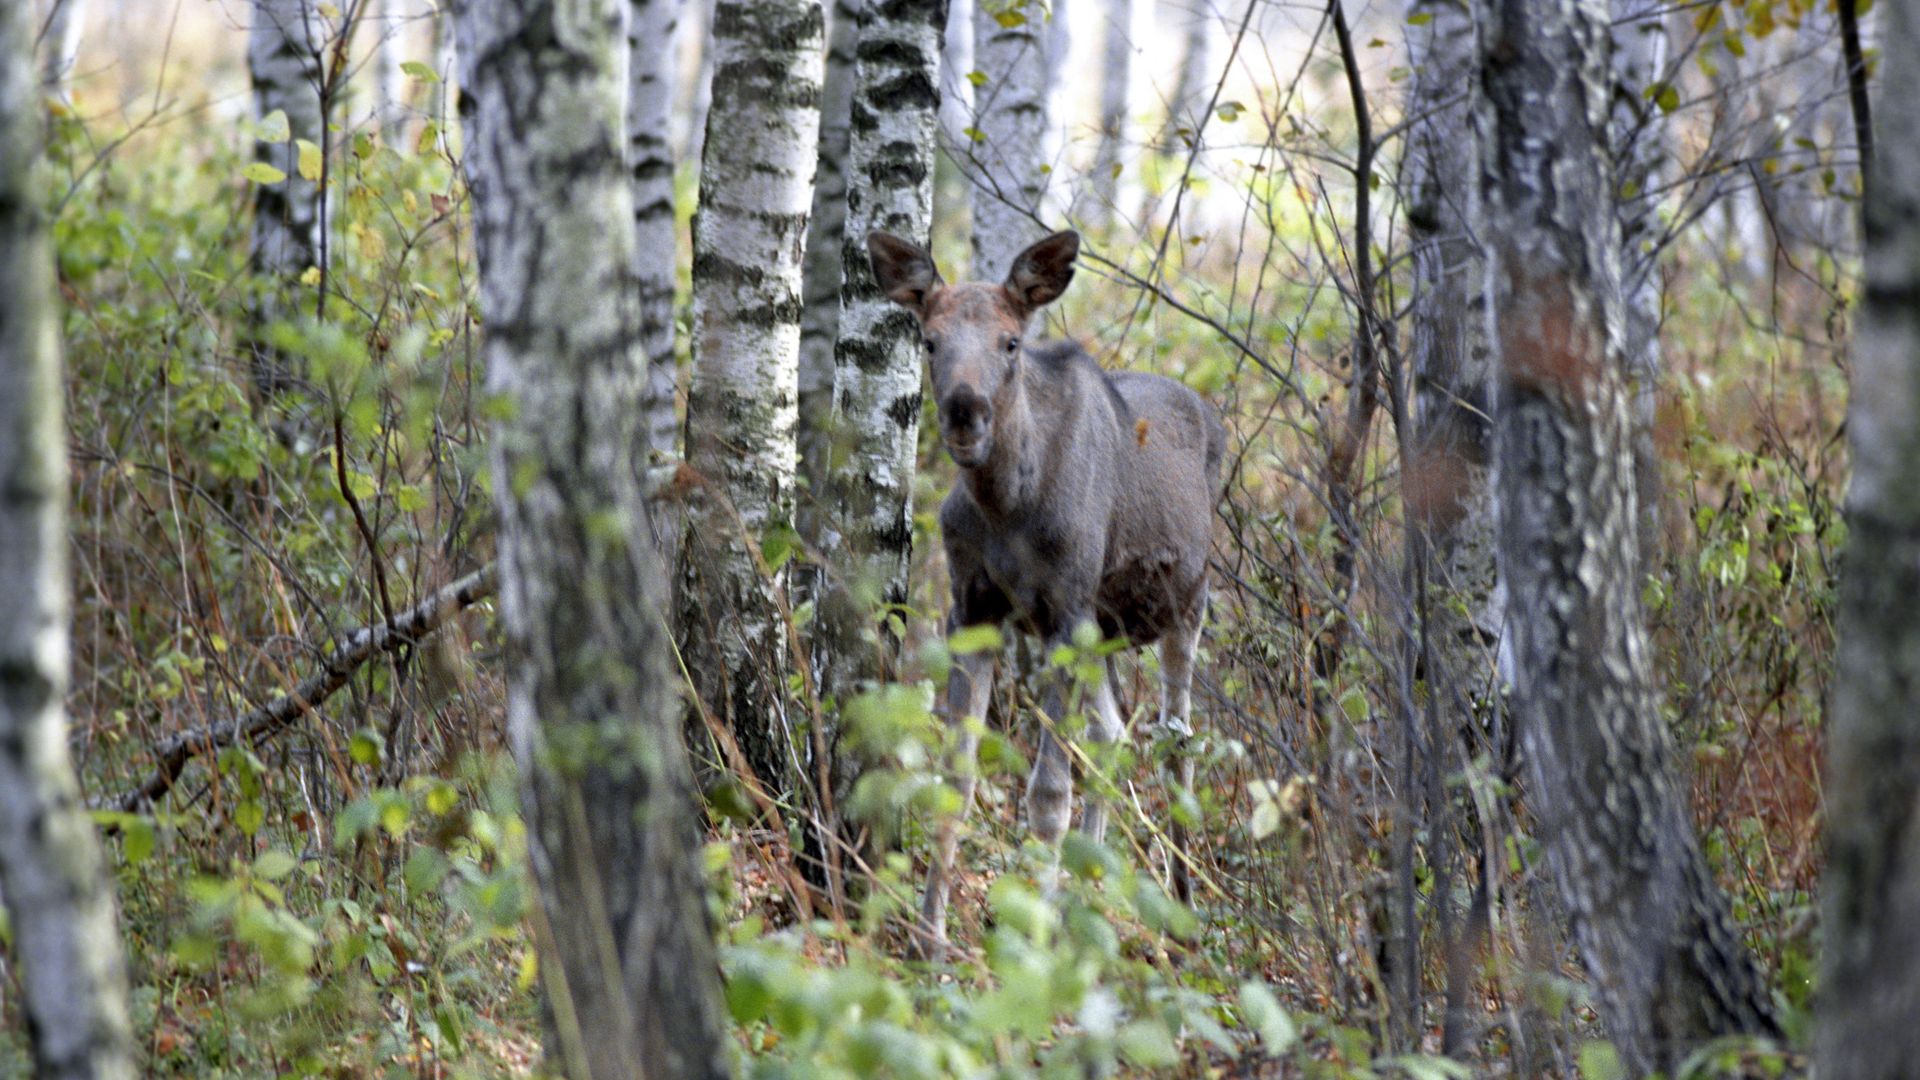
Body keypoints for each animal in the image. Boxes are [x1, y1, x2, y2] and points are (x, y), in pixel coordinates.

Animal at [865, 228, 1226, 951]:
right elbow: (957, 778)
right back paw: (1085, 895)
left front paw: (1030, 942)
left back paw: (1181, 907)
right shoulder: (973, 607)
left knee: (1176, 737)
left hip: (1187, 603)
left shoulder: (1064, 612)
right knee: (1114, 732)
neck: (1009, 506)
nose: (965, 412)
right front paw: (930, 936)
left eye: (1010, 342)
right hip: (1102, 629)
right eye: (930, 341)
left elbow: (1048, 795)